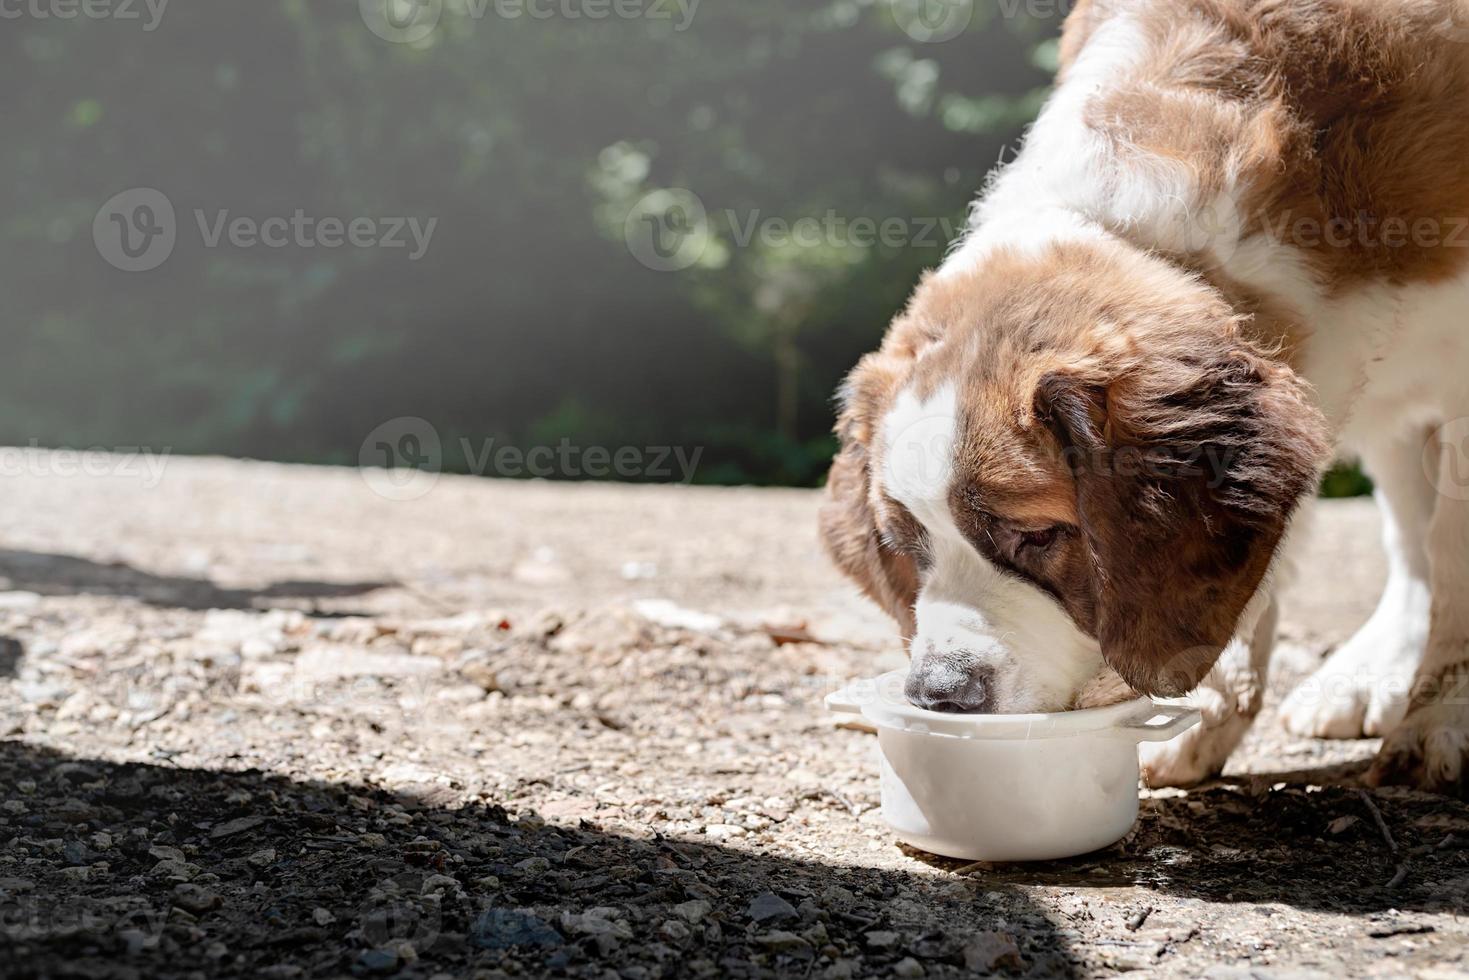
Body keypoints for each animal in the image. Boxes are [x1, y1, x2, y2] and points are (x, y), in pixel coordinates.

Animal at [822, 0, 1469, 793]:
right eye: (905, 544)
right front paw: (1204, 708)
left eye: (1039, 537)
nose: (941, 691)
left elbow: (1456, 554)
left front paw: (1440, 719)